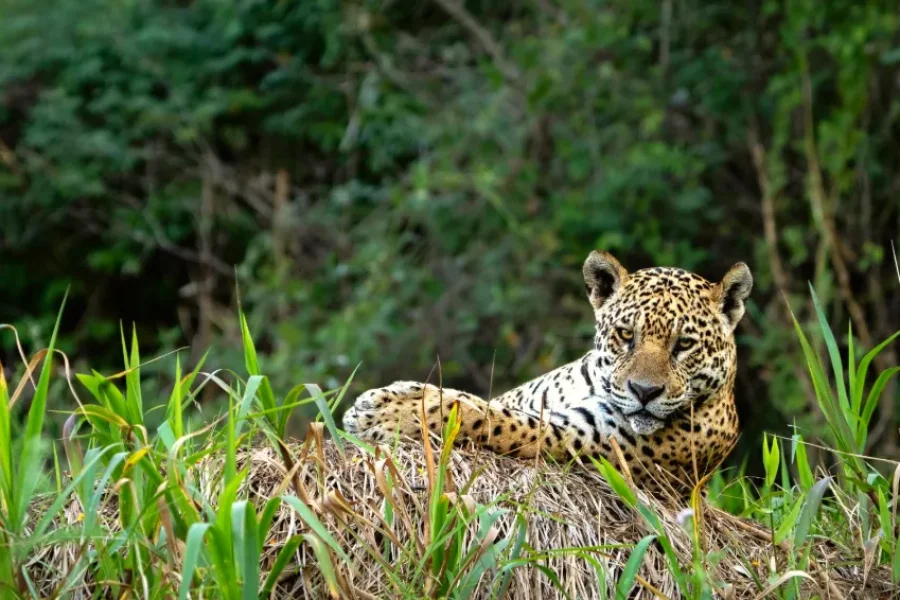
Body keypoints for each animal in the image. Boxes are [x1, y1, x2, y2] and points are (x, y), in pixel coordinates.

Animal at [342, 251, 752, 492]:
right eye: (626, 335)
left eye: (684, 344)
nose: (644, 392)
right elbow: (483, 402)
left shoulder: (584, 437)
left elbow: (493, 417)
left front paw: (387, 412)